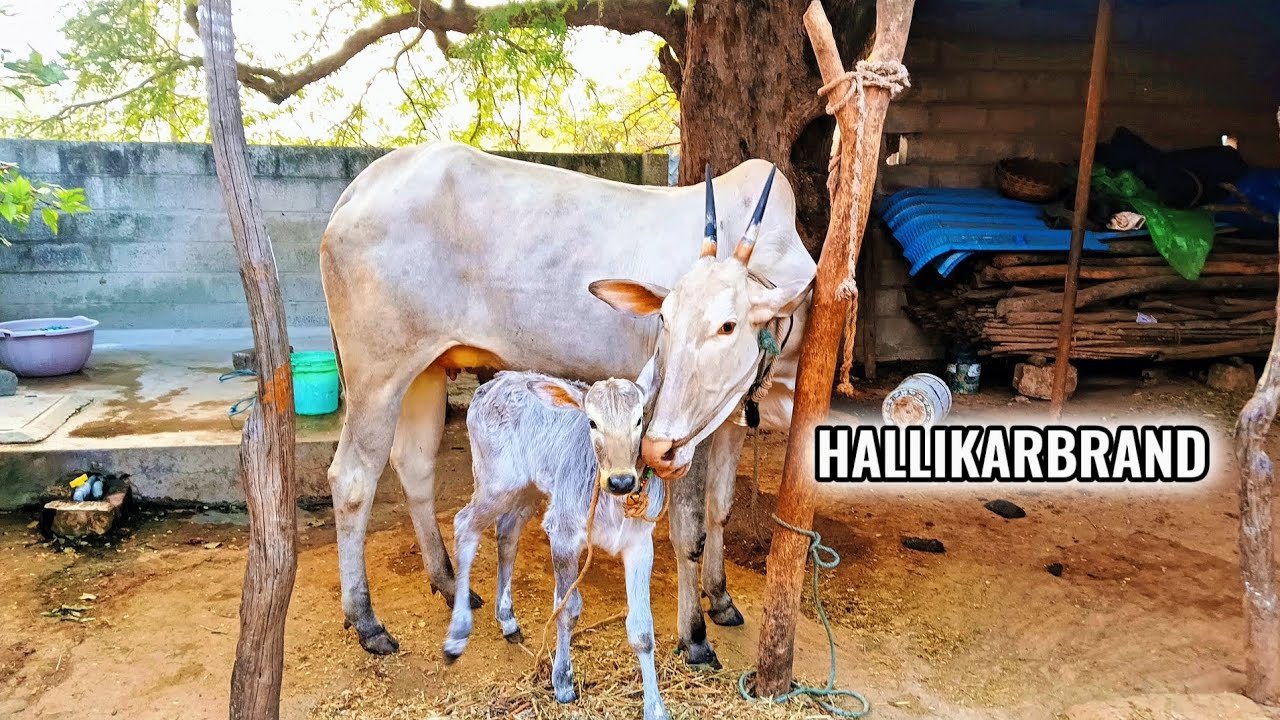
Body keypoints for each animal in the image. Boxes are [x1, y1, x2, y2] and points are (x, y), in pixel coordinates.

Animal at [319, 141, 815, 666]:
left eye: (728, 325)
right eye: (663, 319)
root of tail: (364, 183)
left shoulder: (729, 418)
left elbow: (720, 507)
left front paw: (720, 598)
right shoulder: (675, 430)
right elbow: (689, 528)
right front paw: (695, 635)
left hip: (425, 370)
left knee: (414, 466)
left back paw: (451, 583)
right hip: (377, 374)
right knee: (353, 479)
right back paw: (367, 620)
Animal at [444, 371, 669, 719]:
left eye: (639, 419)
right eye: (592, 422)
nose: (621, 481)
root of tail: (494, 382)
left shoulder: (640, 544)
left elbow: (642, 629)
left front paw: (655, 707)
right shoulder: (562, 532)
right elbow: (567, 608)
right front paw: (562, 681)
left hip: (527, 488)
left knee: (507, 531)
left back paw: (507, 620)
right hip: (496, 482)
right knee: (464, 524)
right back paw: (457, 634)